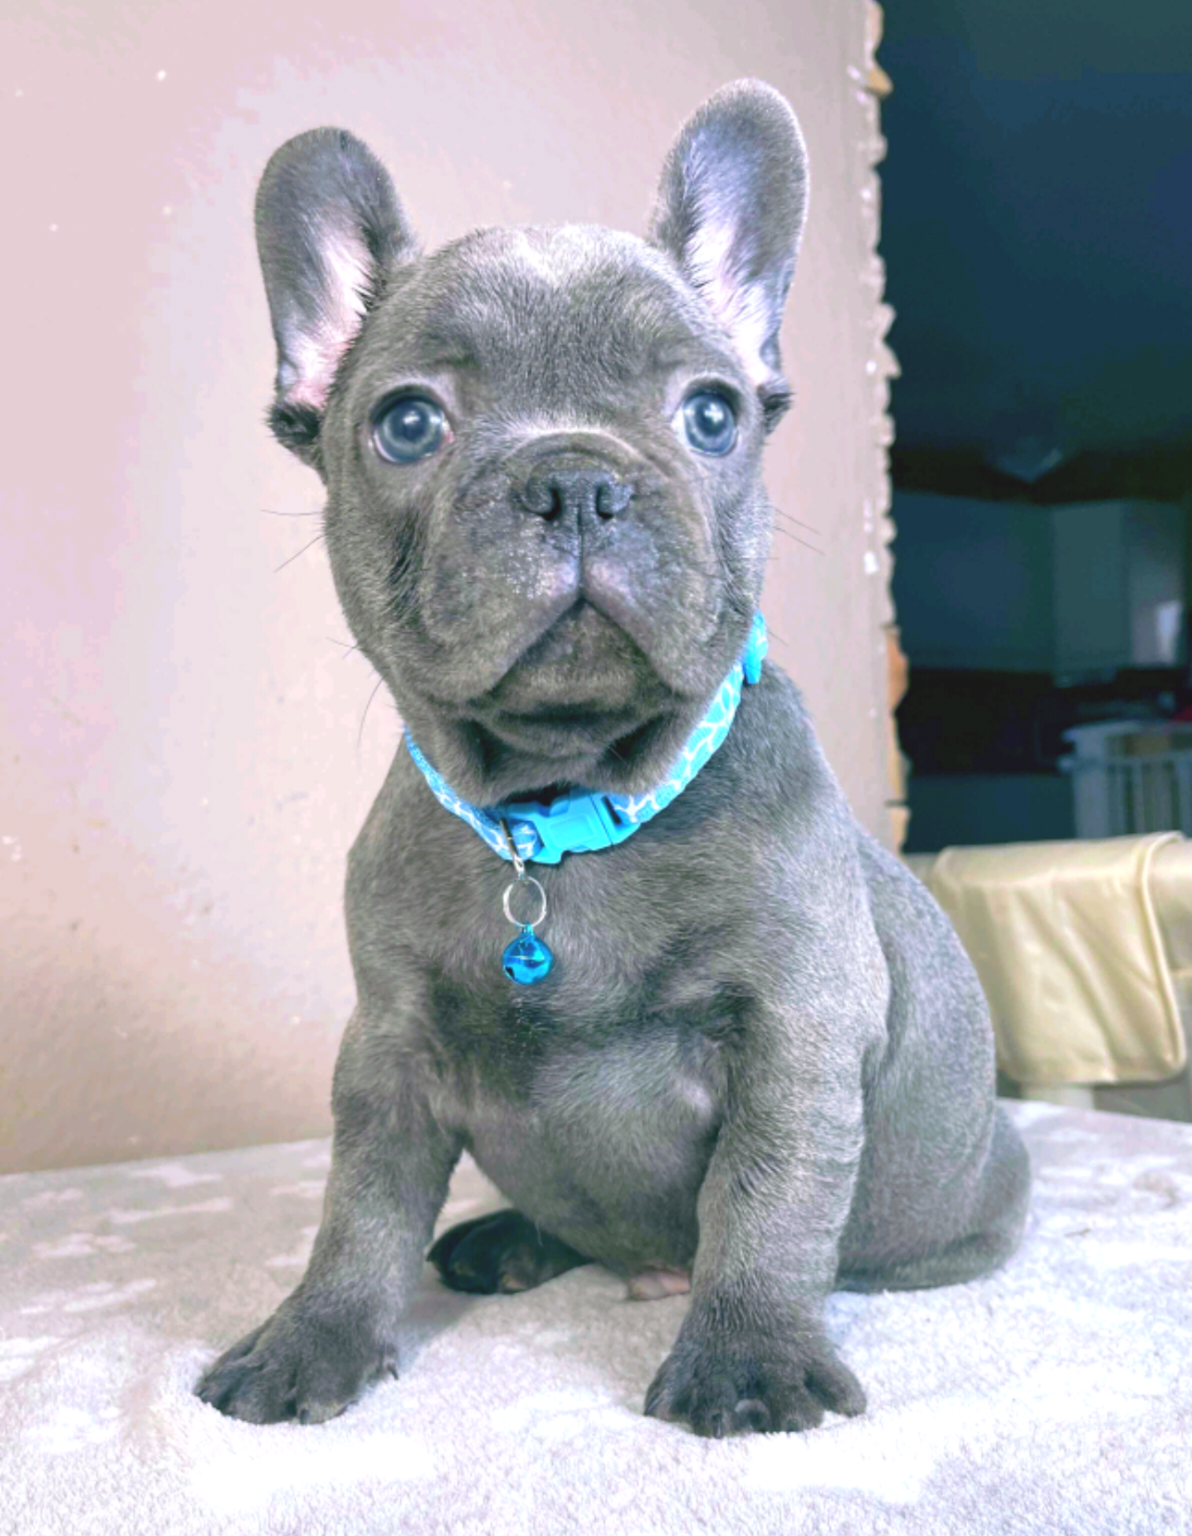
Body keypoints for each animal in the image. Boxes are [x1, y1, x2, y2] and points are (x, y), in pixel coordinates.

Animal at [196, 79, 1030, 1438]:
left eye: (710, 415)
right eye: (408, 425)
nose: (576, 479)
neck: (558, 815)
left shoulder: (793, 1037)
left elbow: (764, 1202)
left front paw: (747, 1360)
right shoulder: (387, 1053)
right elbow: (357, 1210)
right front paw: (310, 1339)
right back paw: (501, 1242)